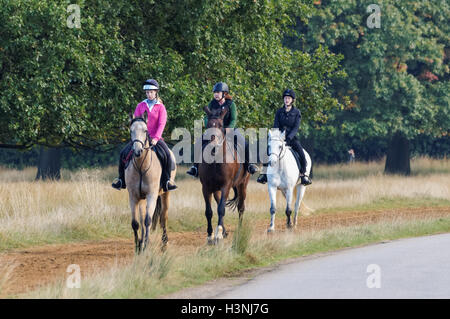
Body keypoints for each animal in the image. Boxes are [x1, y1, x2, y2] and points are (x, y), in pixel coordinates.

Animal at [126, 114, 178, 252]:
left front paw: (145, 245)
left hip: (165, 194)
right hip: (141, 198)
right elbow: (136, 223)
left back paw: (164, 243)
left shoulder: (151, 195)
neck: (141, 167)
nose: (137, 151)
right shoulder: (133, 196)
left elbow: (148, 221)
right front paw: (138, 246)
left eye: (145, 130)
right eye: (131, 130)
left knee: (163, 217)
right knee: (142, 218)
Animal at [199, 107, 251, 245]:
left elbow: (222, 209)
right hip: (216, 189)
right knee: (218, 204)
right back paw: (224, 231)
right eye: (208, 125)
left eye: (220, 125)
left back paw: (239, 230)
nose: (212, 145)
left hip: (242, 185)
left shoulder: (226, 186)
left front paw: (218, 236)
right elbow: (209, 211)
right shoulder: (206, 188)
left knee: (241, 207)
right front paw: (210, 235)